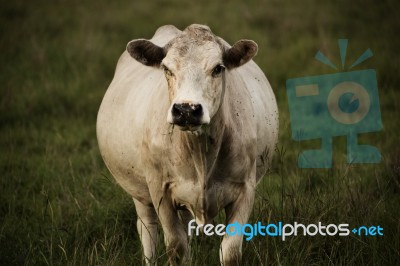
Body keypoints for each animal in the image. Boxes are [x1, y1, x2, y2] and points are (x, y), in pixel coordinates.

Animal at [97, 23, 278, 264]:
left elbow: (230, 252)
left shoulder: (245, 189)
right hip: (139, 193)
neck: (201, 154)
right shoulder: (161, 191)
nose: (186, 110)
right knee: (147, 230)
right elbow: (177, 247)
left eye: (218, 68)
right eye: (167, 69)